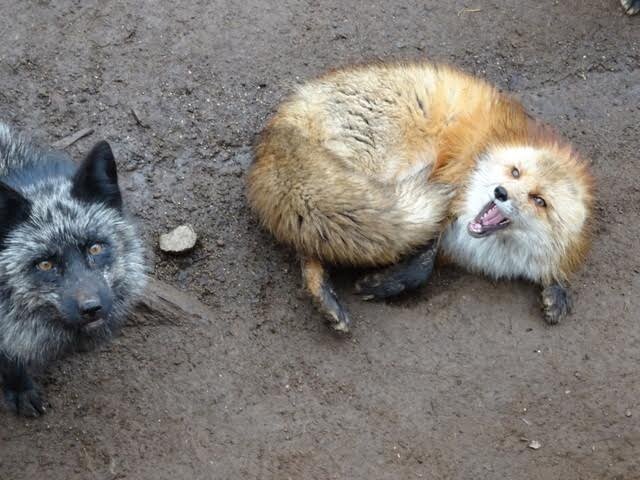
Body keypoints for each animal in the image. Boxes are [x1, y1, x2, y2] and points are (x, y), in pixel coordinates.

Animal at [247, 62, 594, 333]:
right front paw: (387, 284)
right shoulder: (451, 188)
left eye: (539, 200)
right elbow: (425, 262)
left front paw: (557, 290)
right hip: (382, 171)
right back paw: (323, 292)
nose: (500, 192)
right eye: (515, 172)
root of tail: (286, 115)